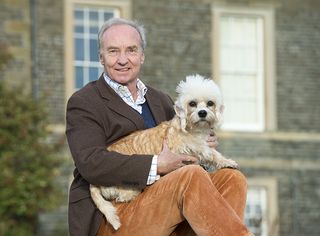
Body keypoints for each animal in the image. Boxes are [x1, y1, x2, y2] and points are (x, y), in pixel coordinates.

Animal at [89, 74, 238, 230]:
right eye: (192, 103)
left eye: (210, 103)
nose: (202, 113)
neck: (193, 130)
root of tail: (92, 184)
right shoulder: (185, 149)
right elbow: (207, 152)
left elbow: (211, 153)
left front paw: (225, 162)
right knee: (123, 196)